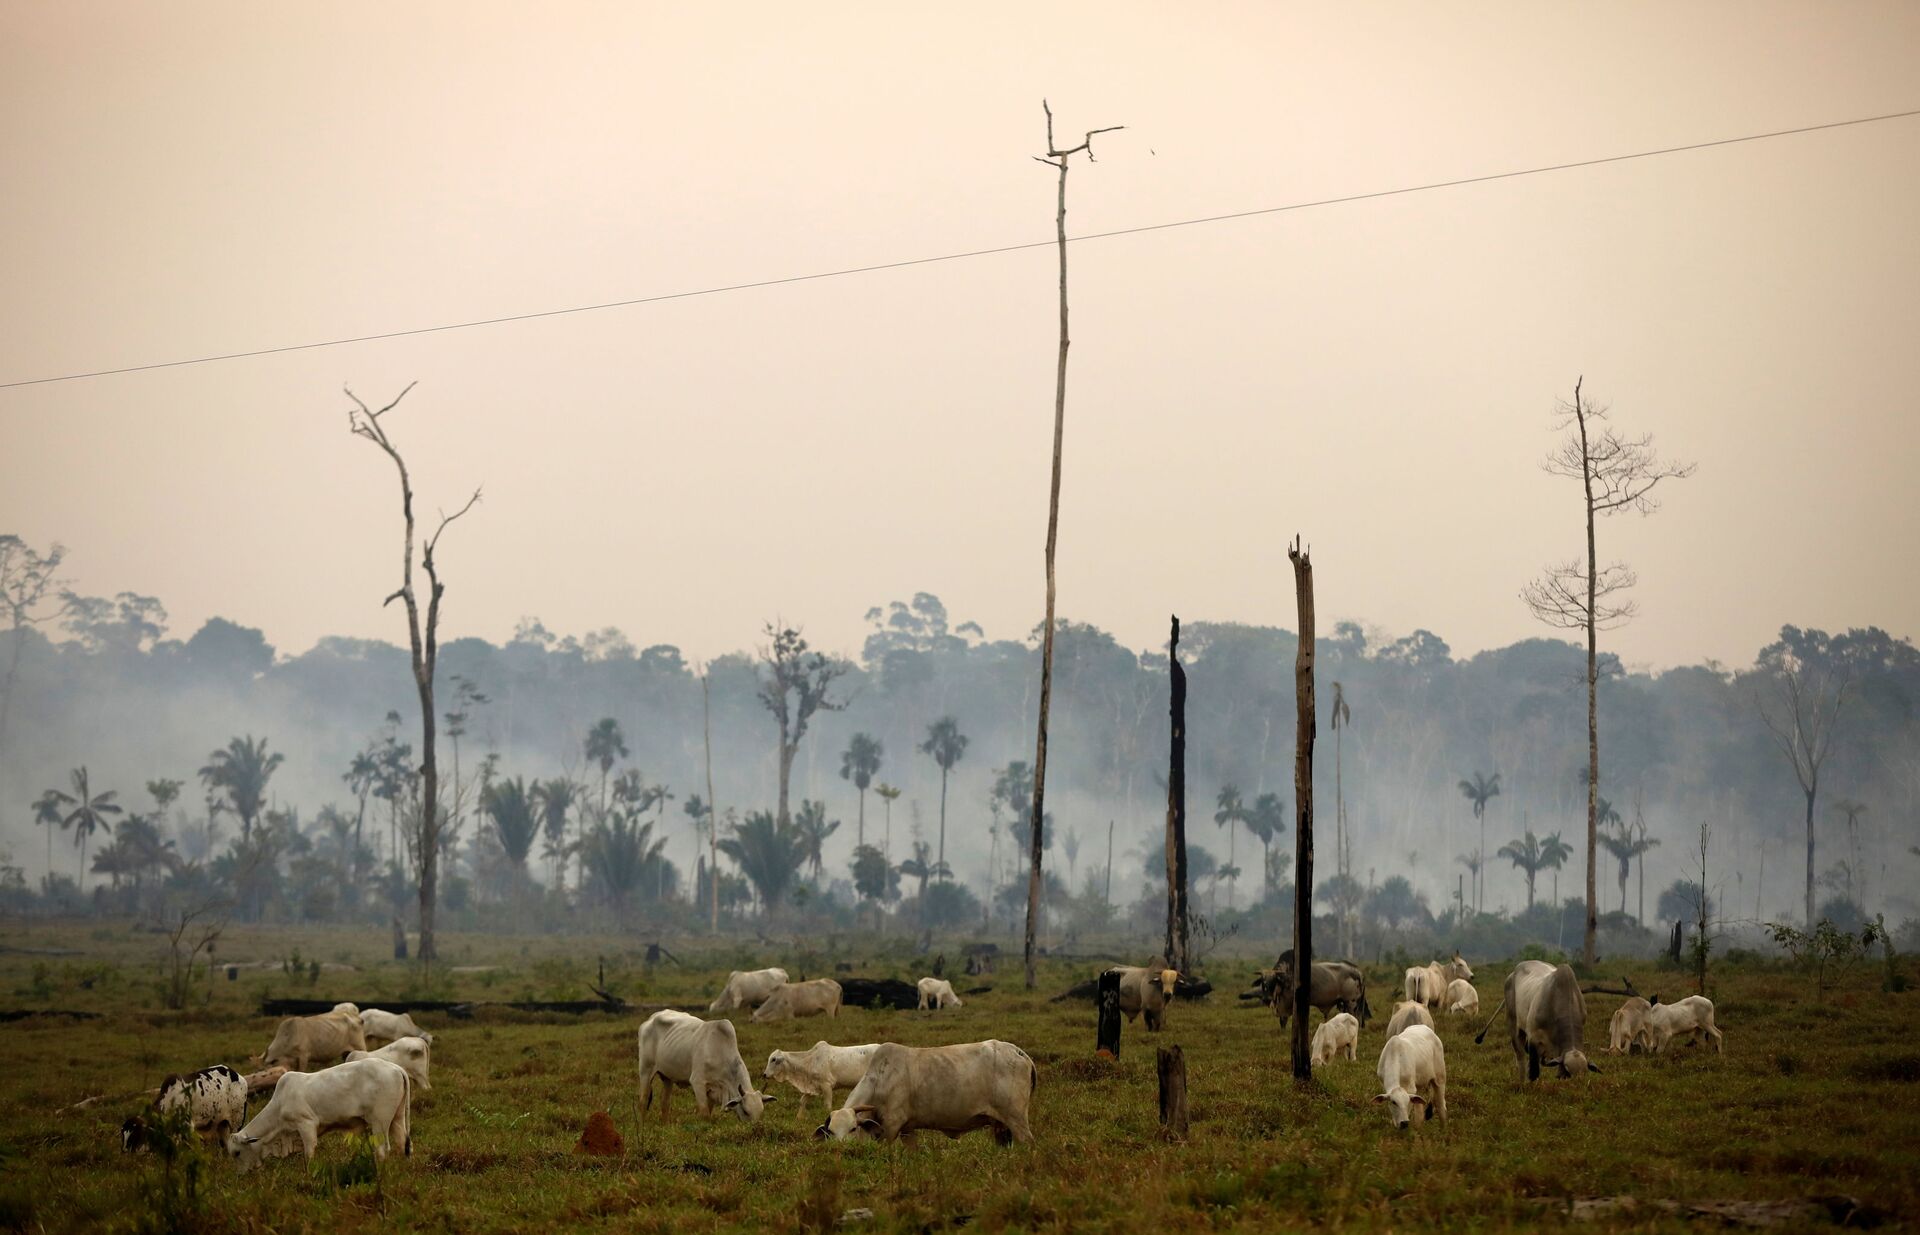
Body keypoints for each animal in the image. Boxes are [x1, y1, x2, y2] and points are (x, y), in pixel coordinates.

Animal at [225, 1060, 412, 1175]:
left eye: (237, 1153)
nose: (240, 1175)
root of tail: (396, 1068)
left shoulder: (306, 1124)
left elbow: (309, 1154)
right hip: (397, 1118)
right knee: (403, 1144)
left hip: (379, 1121)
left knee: (383, 1149)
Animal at [637, 1006, 771, 1129]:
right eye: (745, 1111)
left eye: (761, 1112)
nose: (755, 1128)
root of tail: (651, 1018)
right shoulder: (698, 1083)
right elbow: (705, 1114)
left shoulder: (712, 1091)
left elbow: (709, 1112)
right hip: (645, 1071)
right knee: (643, 1100)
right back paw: (642, 1127)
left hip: (667, 1077)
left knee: (665, 1102)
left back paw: (666, 1126)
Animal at [821, 1037, 1044, 1144]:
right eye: (830, 1132)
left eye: (853, 1128)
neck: (879, 1081)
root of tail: (1020, 1053)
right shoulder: (907, 1129)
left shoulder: (892, 1126)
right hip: (1001, 1125)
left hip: (1016, 1118)